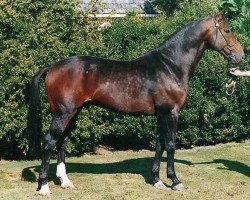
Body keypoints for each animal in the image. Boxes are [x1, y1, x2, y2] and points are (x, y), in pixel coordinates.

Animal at [28, 11, 243, 195]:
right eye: (227, 30)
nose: (241, 57)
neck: (170, 66)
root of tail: (53, 66)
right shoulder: (171, 113)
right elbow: (171, 144)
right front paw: (175, 181)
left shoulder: (161, 114)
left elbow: (160, 144)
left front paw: (157, 180)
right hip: (62, 114)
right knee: (49, 142)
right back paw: (44, 186)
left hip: (74, 112)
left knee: (62, 142)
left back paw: (65, 181)